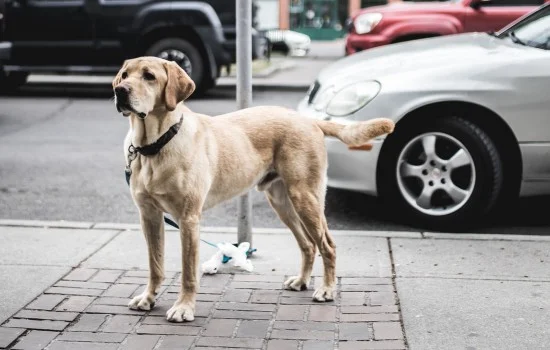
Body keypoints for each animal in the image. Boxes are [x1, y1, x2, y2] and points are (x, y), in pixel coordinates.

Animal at [112, 56, 396, 322]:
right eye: (124, 75)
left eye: (149, 76)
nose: (120, 91)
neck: (155, 145)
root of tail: (309, 120)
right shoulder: (150, 216)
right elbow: (155, 264)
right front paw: (148, 298)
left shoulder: (188, 218)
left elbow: (188, 272)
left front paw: (184, 308)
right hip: (283, 202)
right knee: (307, 245)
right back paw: (302, 281)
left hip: (306, 197)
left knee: (327, 244)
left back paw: (327, 289)